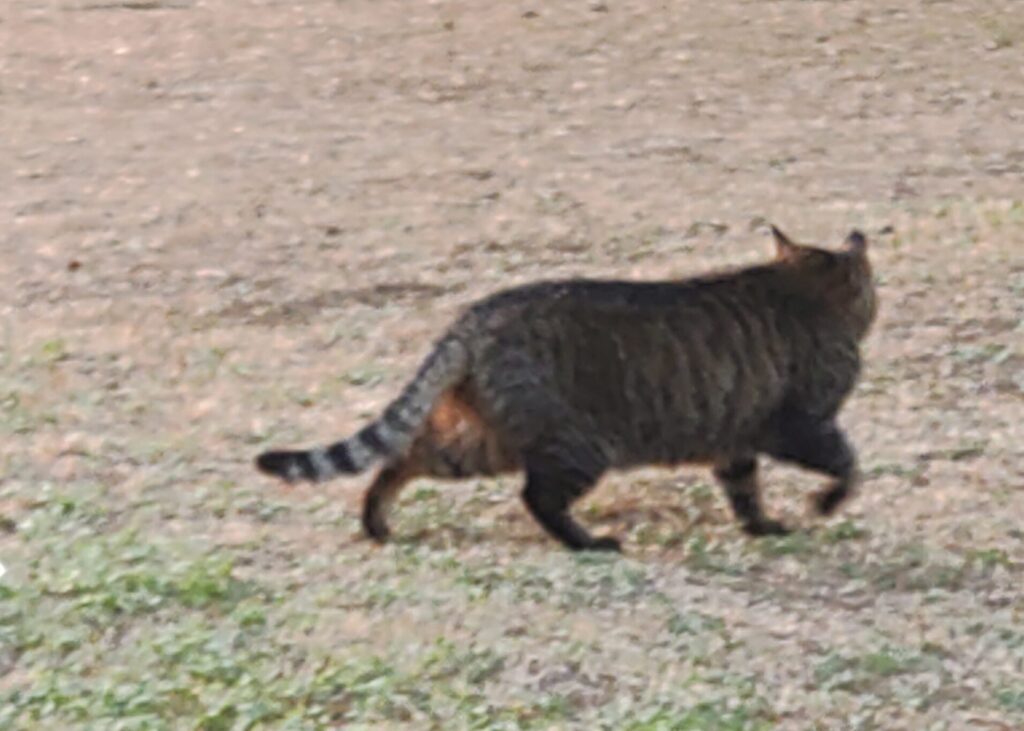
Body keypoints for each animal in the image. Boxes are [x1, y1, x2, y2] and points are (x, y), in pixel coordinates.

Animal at [256, 226, 877, 551]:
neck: (800, 287)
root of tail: (477, 316)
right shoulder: (800, 424)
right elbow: (848, 464)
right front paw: (826, 502)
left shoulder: (737, 439)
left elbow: (745, 490)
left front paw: (762, 525)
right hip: (578, 445)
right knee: (537, 497)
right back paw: (588, 541)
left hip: (480, 441)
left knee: (401, 459)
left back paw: (376, 521)